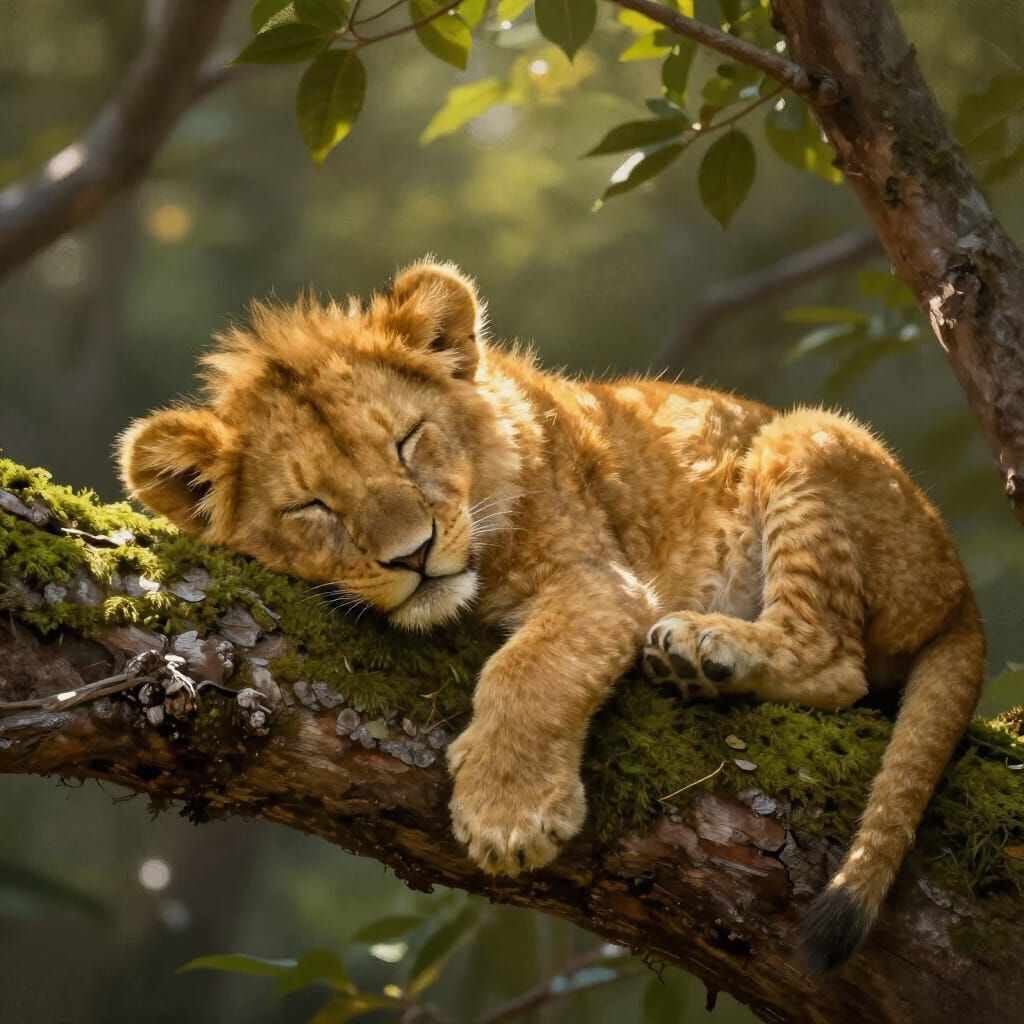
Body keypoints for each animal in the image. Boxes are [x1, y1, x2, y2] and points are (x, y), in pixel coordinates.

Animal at [118, 259, 985, 974]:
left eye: (406, 443)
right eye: (311, 507)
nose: (412, 554)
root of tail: (962, 588)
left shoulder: (601, 580)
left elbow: (531, 668)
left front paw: (510, 815)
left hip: (806, 434)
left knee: (836, 663)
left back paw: (703, 646)